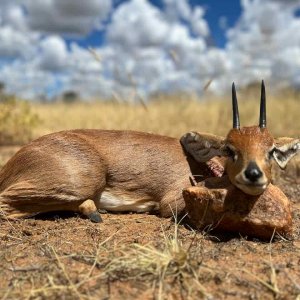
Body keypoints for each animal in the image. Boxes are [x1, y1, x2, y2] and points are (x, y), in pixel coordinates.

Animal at [0, 81, 298, 221]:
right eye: (228, 148)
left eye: (271, 150)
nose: (253, 174)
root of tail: (13, 163)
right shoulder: (171, 202)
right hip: (81, 182)